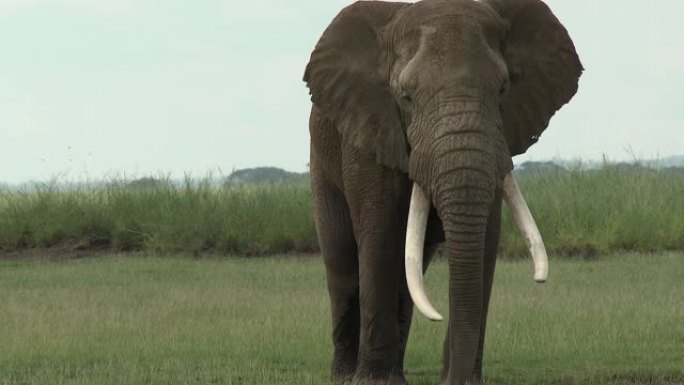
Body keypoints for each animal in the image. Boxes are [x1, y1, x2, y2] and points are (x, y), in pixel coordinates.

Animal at [304, 0, 584, 384]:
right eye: (406, 97)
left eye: (503, 90)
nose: (453, 378)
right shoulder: (369, 133)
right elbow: (379, 238)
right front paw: (375, 381)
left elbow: (486, 242)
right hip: (321, 161)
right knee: (343, 265)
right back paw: (346, 375)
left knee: (409, 275)